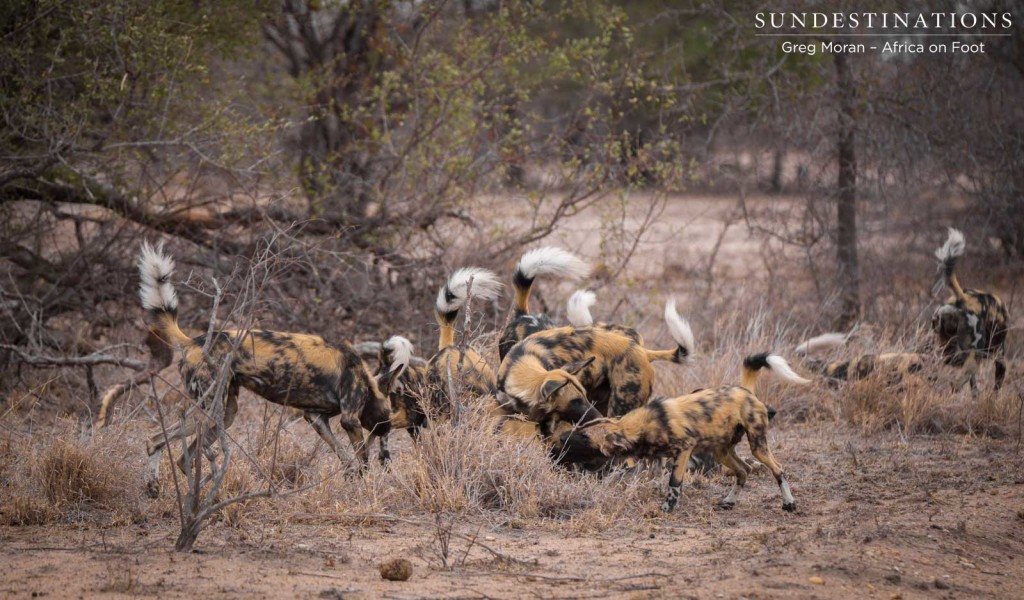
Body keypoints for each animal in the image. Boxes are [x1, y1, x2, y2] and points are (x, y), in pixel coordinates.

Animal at [495, 296, 696, 432]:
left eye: (581, 397)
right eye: (576, 401)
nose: (597, 418)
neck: (521, 363)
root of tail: (643, 351)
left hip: (619, 410)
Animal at [552, 352, 806, 511]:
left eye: (583, 437)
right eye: (581, 428)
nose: (560, 439)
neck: (643, 425)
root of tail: (745, 392)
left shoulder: (684, 450)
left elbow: (674, 483)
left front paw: (667, 508)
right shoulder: (655, 458)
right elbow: (638, 477)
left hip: (757, 446)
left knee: (778, 469)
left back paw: (789, 503)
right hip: (722, 452)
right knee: (744, 471)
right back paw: (728, 502)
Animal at [933, 227, 1011, 393]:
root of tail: (961, 299)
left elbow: (974, 386)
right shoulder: (1000, 358)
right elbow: (996, 389)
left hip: (946, 348)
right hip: (974, 354)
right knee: (956, 381)